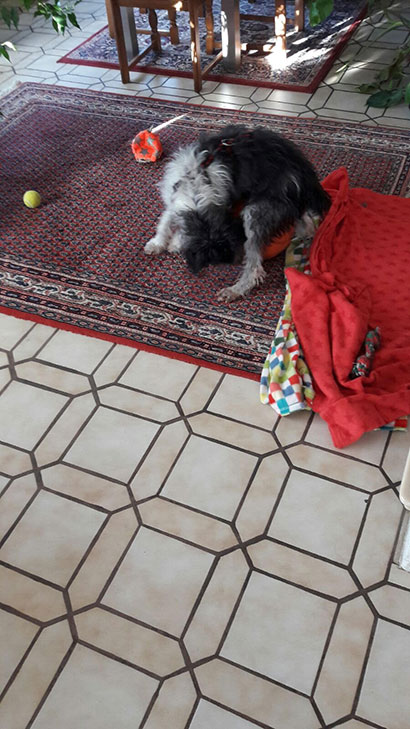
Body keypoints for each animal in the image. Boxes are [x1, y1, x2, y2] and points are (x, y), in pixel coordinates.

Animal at [144, 124, 331, 301]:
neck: (197, 186)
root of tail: (305, 176)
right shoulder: (172, 198)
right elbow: (166, 222)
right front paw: (160, 243)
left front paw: (171, 242)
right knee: (306, 224)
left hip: (257, 212)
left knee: (255, 268)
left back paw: (235, 290)